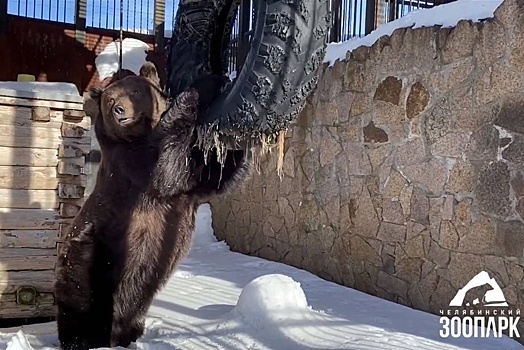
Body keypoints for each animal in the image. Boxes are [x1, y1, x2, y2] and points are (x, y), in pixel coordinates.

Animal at [54, 63, 249, 350]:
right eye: (110, 99)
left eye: (135, 91)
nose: (119, 109)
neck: (138, 135)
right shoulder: (133, 166)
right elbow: (168, 163)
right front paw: (204, 85)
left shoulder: (189, 193)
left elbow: (213, 173)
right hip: (89, 258)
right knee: (80, 306)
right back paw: (82, 340)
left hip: (132, 294)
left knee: (131, 307)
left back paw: (127, 336)